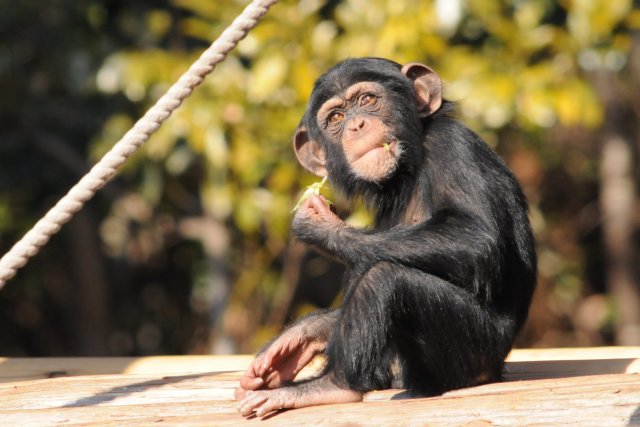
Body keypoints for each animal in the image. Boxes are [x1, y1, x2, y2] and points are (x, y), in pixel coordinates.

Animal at [235, 56, 536, 418]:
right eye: (336, 118)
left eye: (367, 100)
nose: (357, 125)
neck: (405, 171)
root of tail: (498, 367)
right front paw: (298, 338)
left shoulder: (453, 146)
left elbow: (477, 237)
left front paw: (320, 225)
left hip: (475, 352)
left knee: (384, 278)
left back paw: (332, 385)